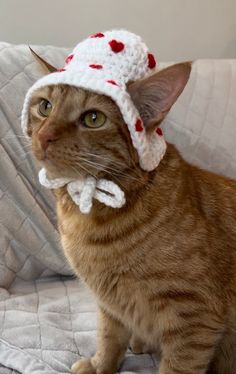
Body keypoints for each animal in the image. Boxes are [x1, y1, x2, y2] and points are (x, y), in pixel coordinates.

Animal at [25, 56, 236, 374]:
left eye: (93, 119)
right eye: (45, 107)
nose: (44, 135)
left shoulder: (196, 320)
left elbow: (177, 366)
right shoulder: (110, 304)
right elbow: (109, 337)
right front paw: (100, 365)